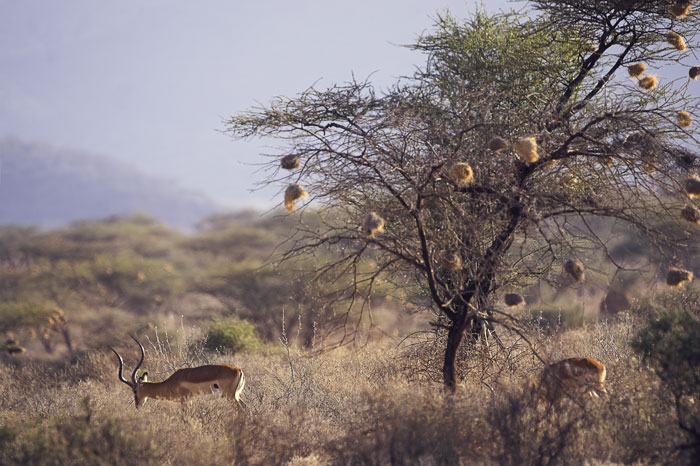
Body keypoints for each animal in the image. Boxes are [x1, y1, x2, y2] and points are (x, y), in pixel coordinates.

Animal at [109, 334, 246, 408]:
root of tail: (238, 370)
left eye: (135, 390)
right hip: (236, 395)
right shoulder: (189, 401)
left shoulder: (184, 401)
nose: (137, 406)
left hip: (230, 397)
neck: (170, 383)